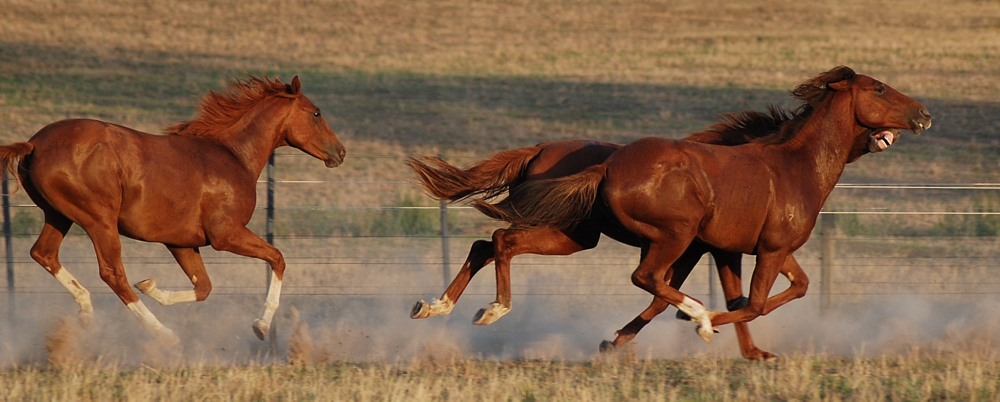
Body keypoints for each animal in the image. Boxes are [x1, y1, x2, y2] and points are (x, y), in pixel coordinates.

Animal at [0, 74, 348, 342]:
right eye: (316, 113)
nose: (340, 152)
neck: (233, 156)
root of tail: (33, 144)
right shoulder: (226, 235)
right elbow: (277, 258)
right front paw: (261, 327)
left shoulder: (181, 242)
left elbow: (203, 287)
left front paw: (151, 286)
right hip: (99, 220)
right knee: (112, 273)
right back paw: (162, 333)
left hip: (58, 215)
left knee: (44, 254)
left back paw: (86, 311)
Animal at [406, 107, 836, 362]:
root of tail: (540, 149)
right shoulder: (694, 246)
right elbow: (681, 296)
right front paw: (703, 324)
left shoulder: (695, 249)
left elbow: (688, 296)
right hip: (566, 232)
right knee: (500, 242)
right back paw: (491, 309)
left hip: (570, 236)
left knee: (487, 244)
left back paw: (435, 306)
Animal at [438, 66, 928, 348]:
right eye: (879, 88)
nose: (923, 115)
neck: (795, 165)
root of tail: (610, 164)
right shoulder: (766, 250)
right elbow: (753, 303)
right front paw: (703, 324)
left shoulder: (739, 249)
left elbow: (781, 291)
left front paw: (753, 353)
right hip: (671, 234)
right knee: (644, 277)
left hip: (576, 234)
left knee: (494, 241)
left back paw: (443, 306)